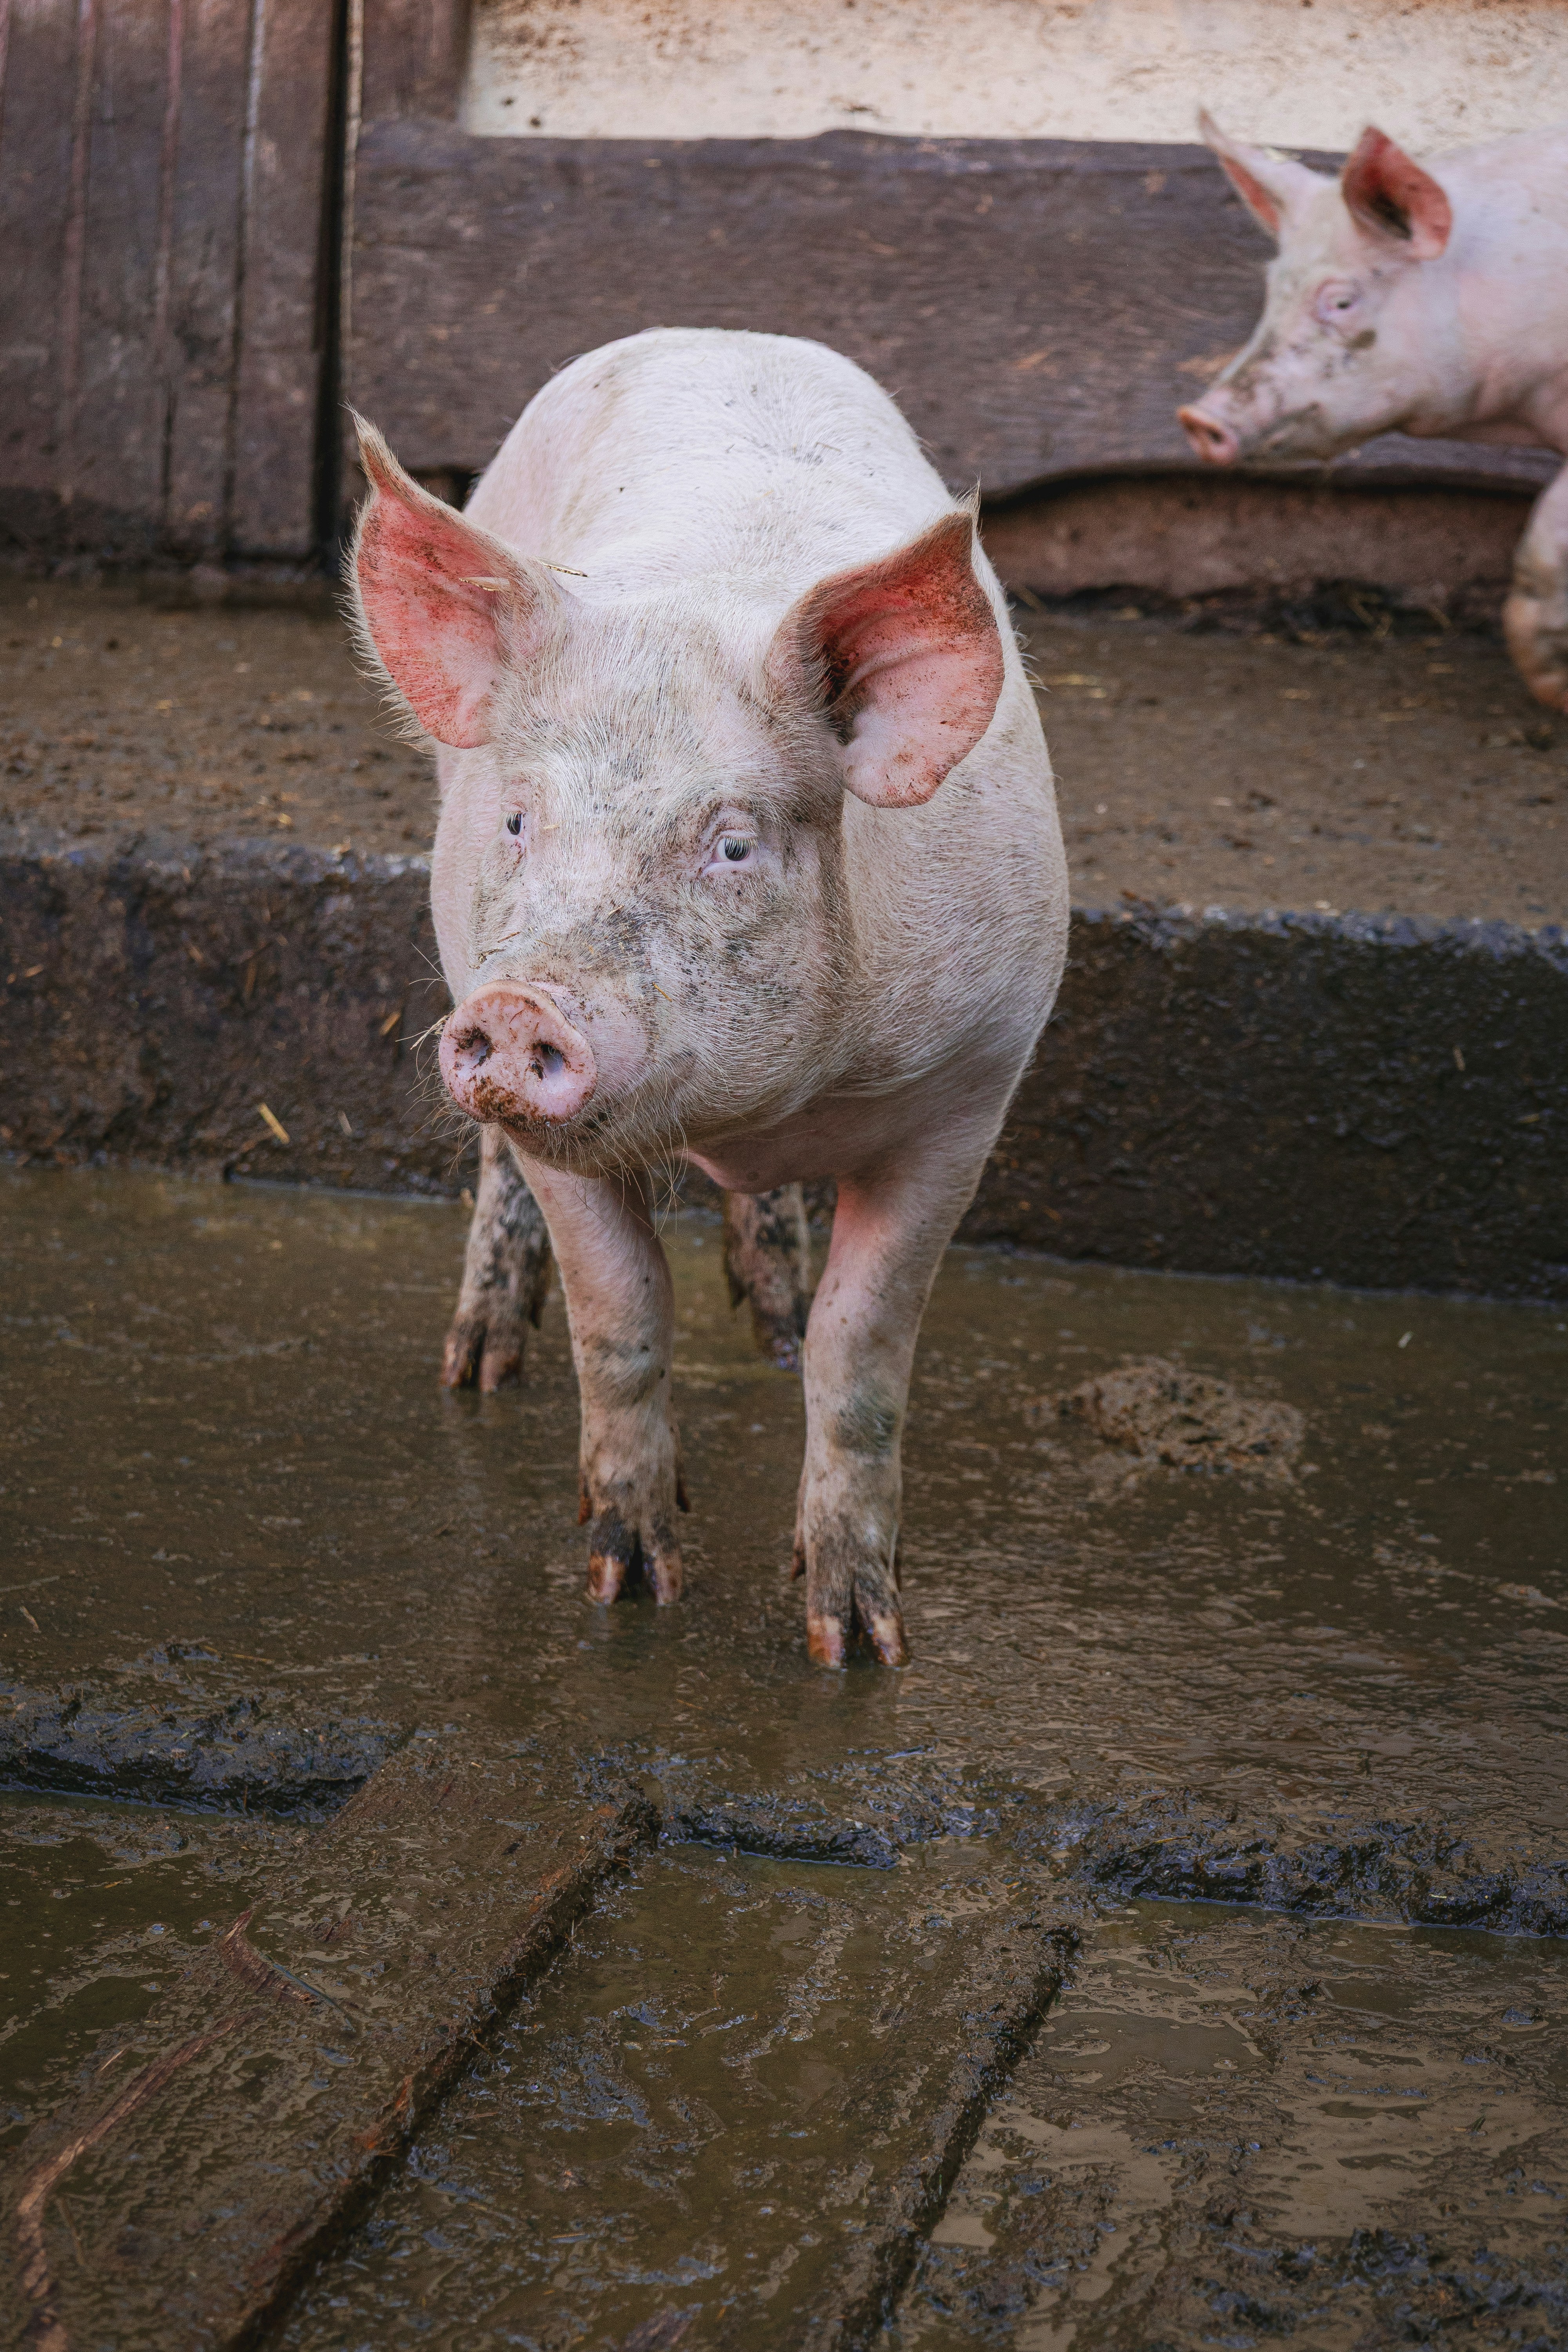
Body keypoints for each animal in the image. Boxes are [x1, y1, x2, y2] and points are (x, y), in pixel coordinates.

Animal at [351, 329, 1068, 1667]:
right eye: (520, 822)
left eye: (733, 844)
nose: (526, 1009)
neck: (760, 1108)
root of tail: (722, 334)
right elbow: (622, 1314)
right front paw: (628, 1588)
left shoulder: (971, 1086)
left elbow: (862, 1351)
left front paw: (857, 1644)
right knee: (498, 1175)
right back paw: (476, 1370)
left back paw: (770, 1315)